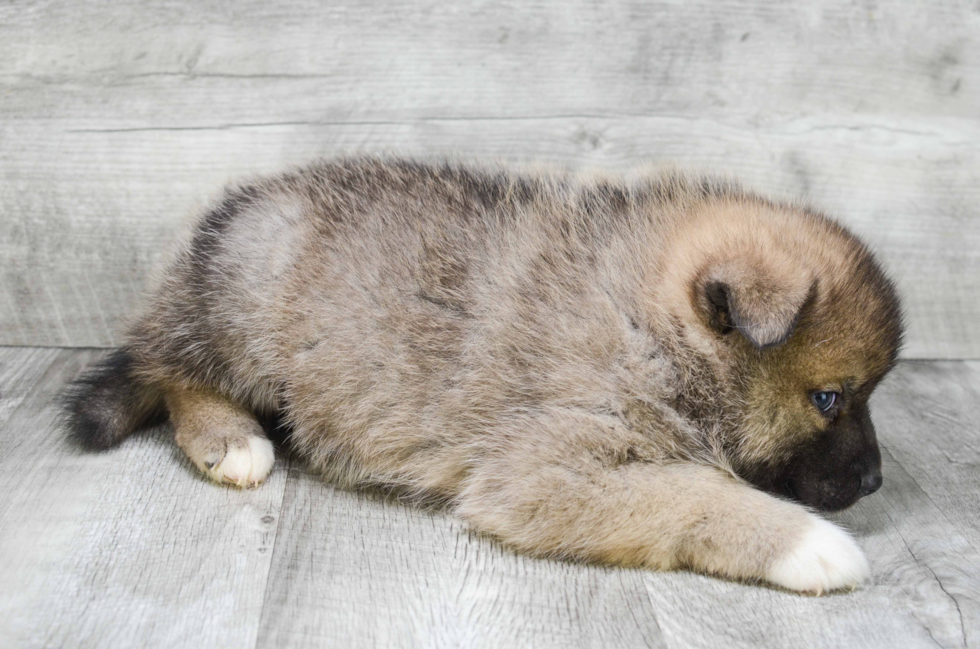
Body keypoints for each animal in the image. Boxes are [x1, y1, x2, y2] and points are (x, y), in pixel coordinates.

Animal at [61, 157, 904, 592]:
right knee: (171, 370)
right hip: (248, 315)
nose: (873, 482)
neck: (650, 328)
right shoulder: (541, 474)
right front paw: (810, 543)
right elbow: (695, 494)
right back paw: (229, 439)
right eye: (829, 398)